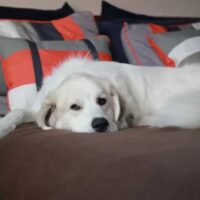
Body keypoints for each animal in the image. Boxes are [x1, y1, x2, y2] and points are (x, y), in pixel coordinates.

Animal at [0, 56, 200, 138]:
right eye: (75, 107)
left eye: (102, 101)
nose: (100, 124)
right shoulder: (36, 107)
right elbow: (18, 111)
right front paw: (3, 126)